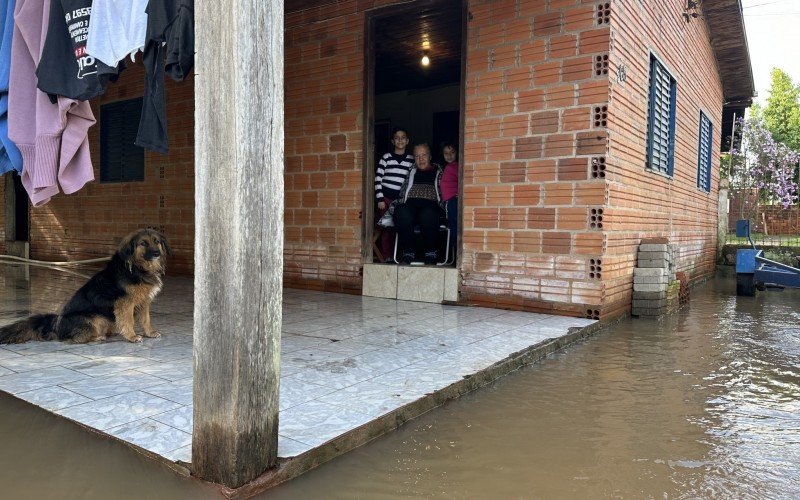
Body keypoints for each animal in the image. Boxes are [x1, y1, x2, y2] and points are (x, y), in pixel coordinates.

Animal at [0, 229, 170, 344]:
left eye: (157, 241)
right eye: (143, 243)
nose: (156, 253)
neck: (137, 267)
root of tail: (56, 325)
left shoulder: (144, 302)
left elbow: (146, 320)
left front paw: (150, 333)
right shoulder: (125, 303)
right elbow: (128, 321)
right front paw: (132, 336)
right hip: (94, 318)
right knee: (76, 338)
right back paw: (98, 337)